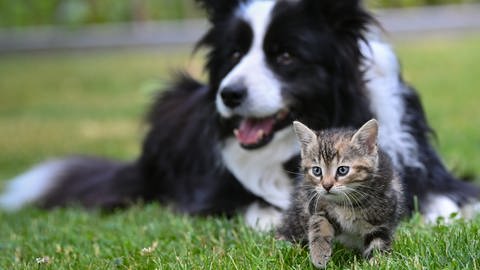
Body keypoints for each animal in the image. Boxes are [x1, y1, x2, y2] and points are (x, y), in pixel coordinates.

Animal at [0, 0, 480, 230]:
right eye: (233, 53)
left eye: (285, 55)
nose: (228, 95)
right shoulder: (212, 194)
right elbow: (254, 204)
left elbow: (447, 200)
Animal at [278, 118, 404, 268]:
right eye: (317, 171)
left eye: (342, 170)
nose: (326, 186)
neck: (347, 202)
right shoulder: (317, 205)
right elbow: (318, 223)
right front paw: (319, 253)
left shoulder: (382, 219)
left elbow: (378, 242)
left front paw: (377, 263)